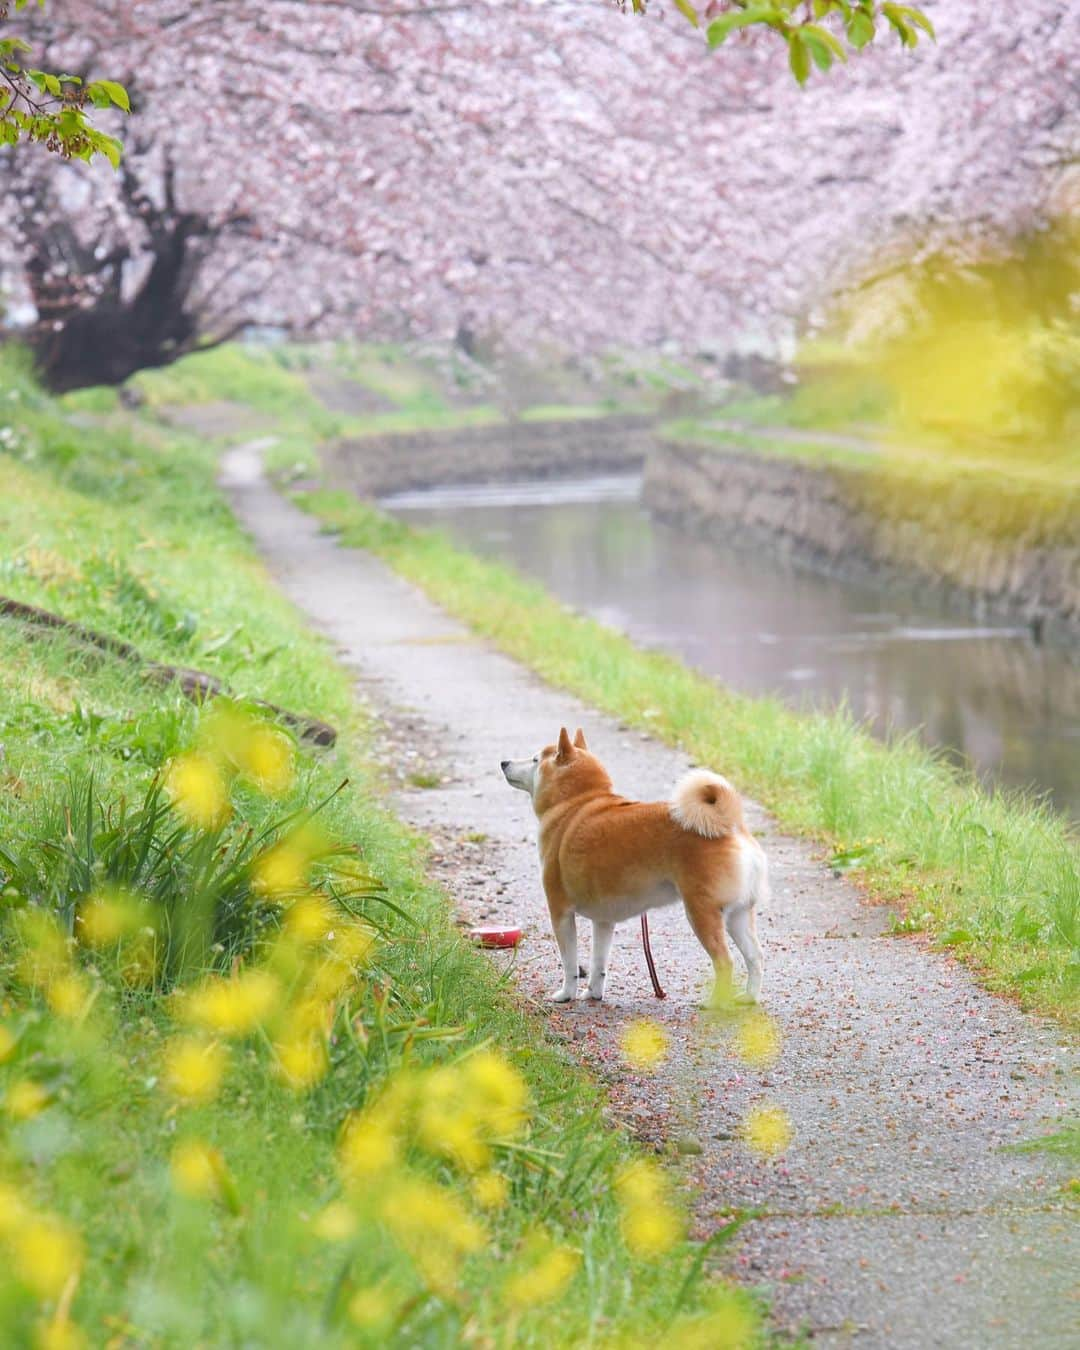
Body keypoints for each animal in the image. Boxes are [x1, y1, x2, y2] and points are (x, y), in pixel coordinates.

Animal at [502, 729, 761, 1004]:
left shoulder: (560, 911)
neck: (574, 804)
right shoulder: (603, 920)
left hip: (702, 912)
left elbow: (569, 962)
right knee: (755, 958)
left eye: (535, 759)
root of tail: (732, 826)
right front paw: (593, 993)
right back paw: (750, 997)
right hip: (737, 916)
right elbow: (598, 963)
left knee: (725, 962)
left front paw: (566, 994)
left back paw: (714, 1003)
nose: (504, 762)